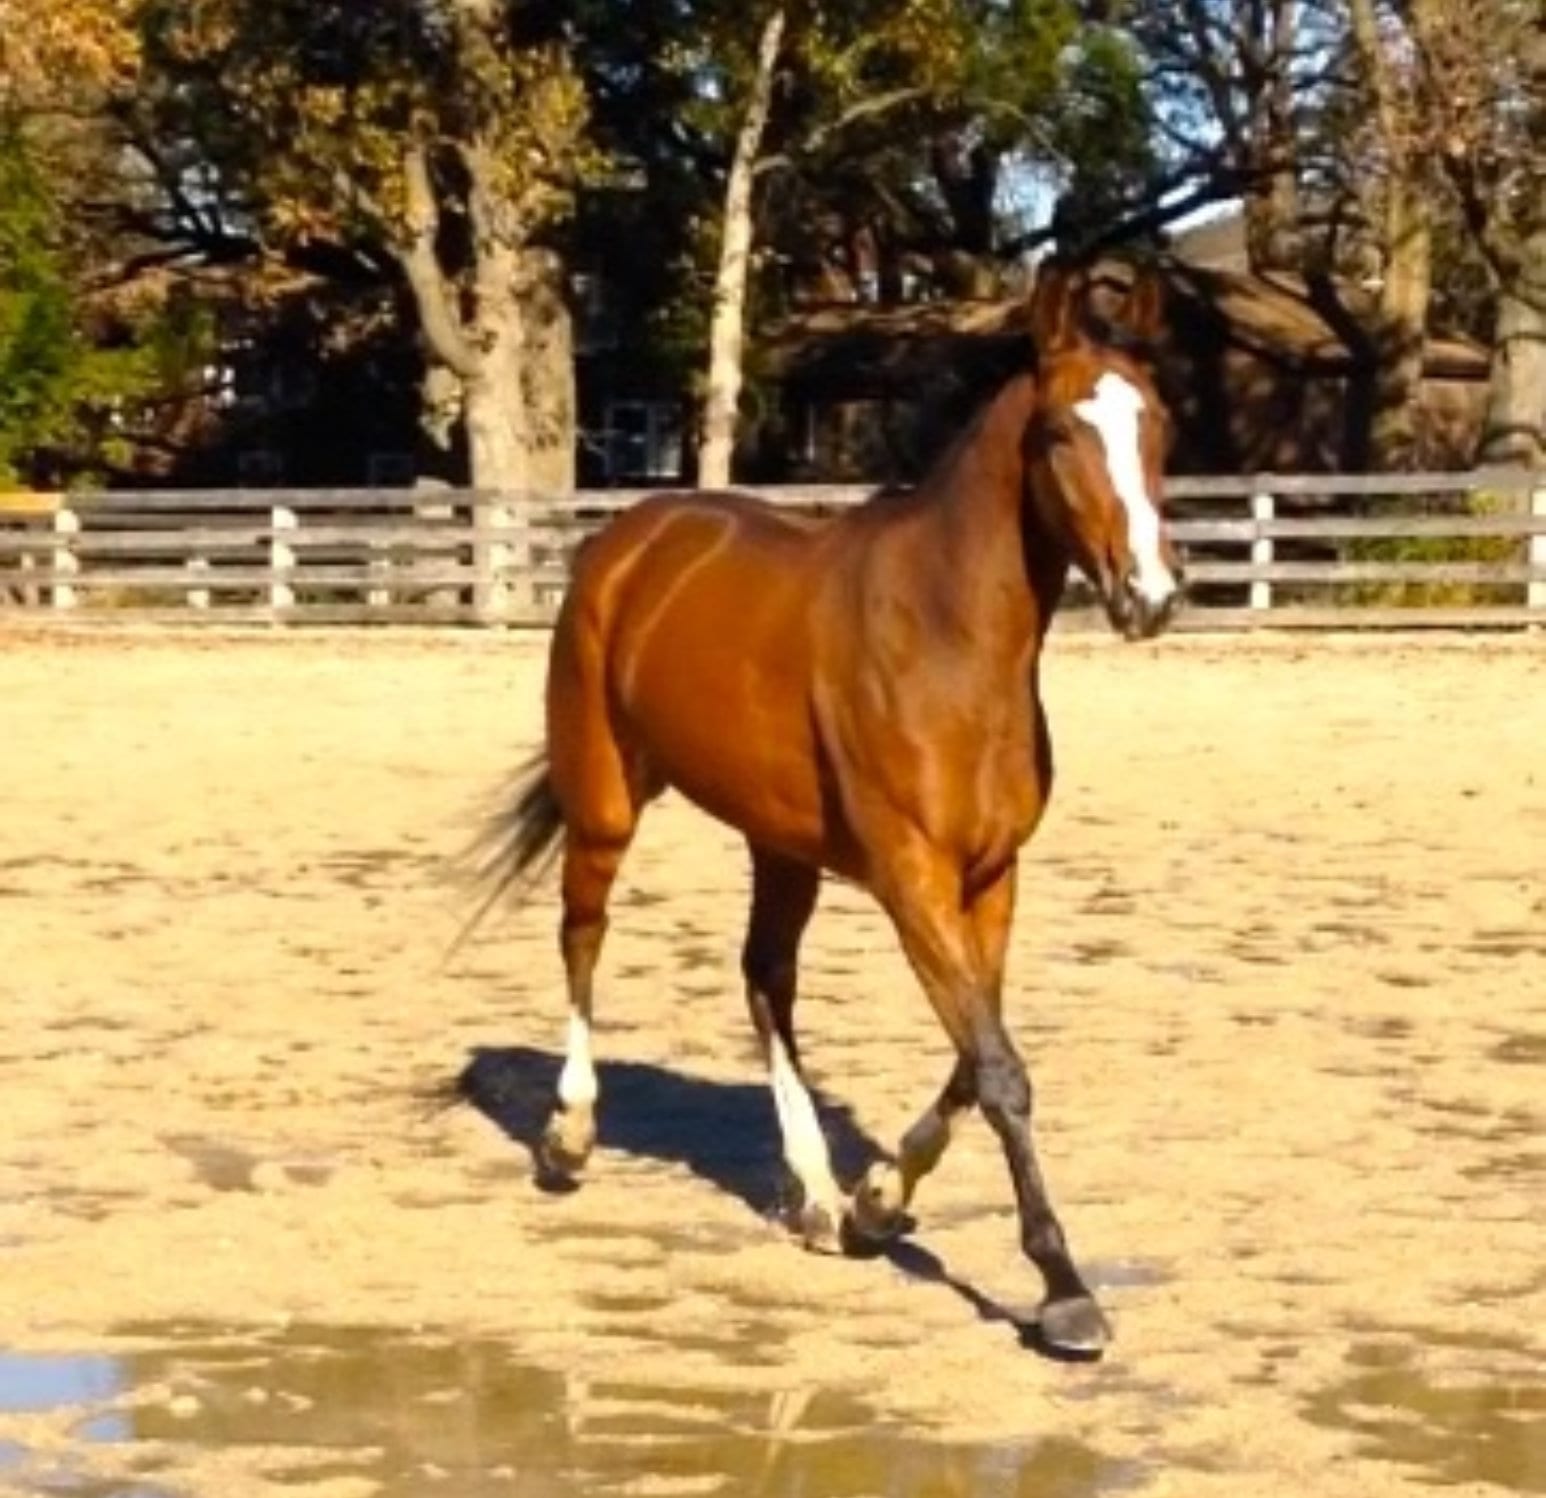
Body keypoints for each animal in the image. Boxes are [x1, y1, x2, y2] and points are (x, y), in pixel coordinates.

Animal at [476, 262, 1183, 1359]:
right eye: (1061, 432)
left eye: (1158, 425)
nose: (1149, 597)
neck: (947, 640)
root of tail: (629, 540)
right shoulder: (911, 876)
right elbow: (998, 1069)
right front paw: (1064, 1290)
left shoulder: (990, 877)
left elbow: (977, 1053)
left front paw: (876, 1204)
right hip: (605, 800)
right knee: (583, 934)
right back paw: (569, 1139)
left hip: (779, 846)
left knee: (766, 979)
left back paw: (812, 1195)